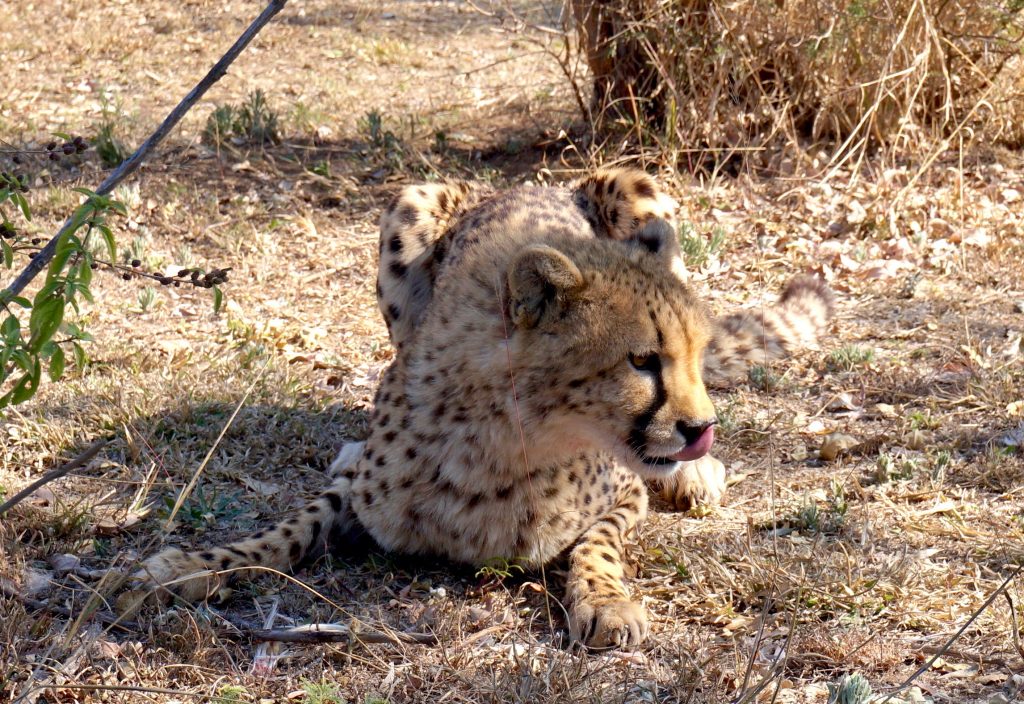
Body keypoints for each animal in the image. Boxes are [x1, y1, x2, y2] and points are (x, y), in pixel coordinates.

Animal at [140, 167, 831, 646]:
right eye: (642, 360)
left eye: (693, 354)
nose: (700, 428)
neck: (505, 437)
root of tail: (527, 185)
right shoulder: (362, 495)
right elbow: (289, 527)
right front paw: (190, 566)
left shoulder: (625, 493)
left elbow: (596, 544)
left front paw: (605, 602)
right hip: (409, 208)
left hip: (638, 185)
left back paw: (696, 473)